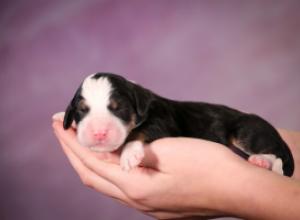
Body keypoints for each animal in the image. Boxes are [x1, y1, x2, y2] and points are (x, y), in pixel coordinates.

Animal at [59, 73, 294, 176]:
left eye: (118, 109)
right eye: (82, 110)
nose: (98, 133)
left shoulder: (162, 123)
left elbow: (138, 132)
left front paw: (129, 155)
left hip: (246, 130)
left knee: (275, 158)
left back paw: (261, 161)